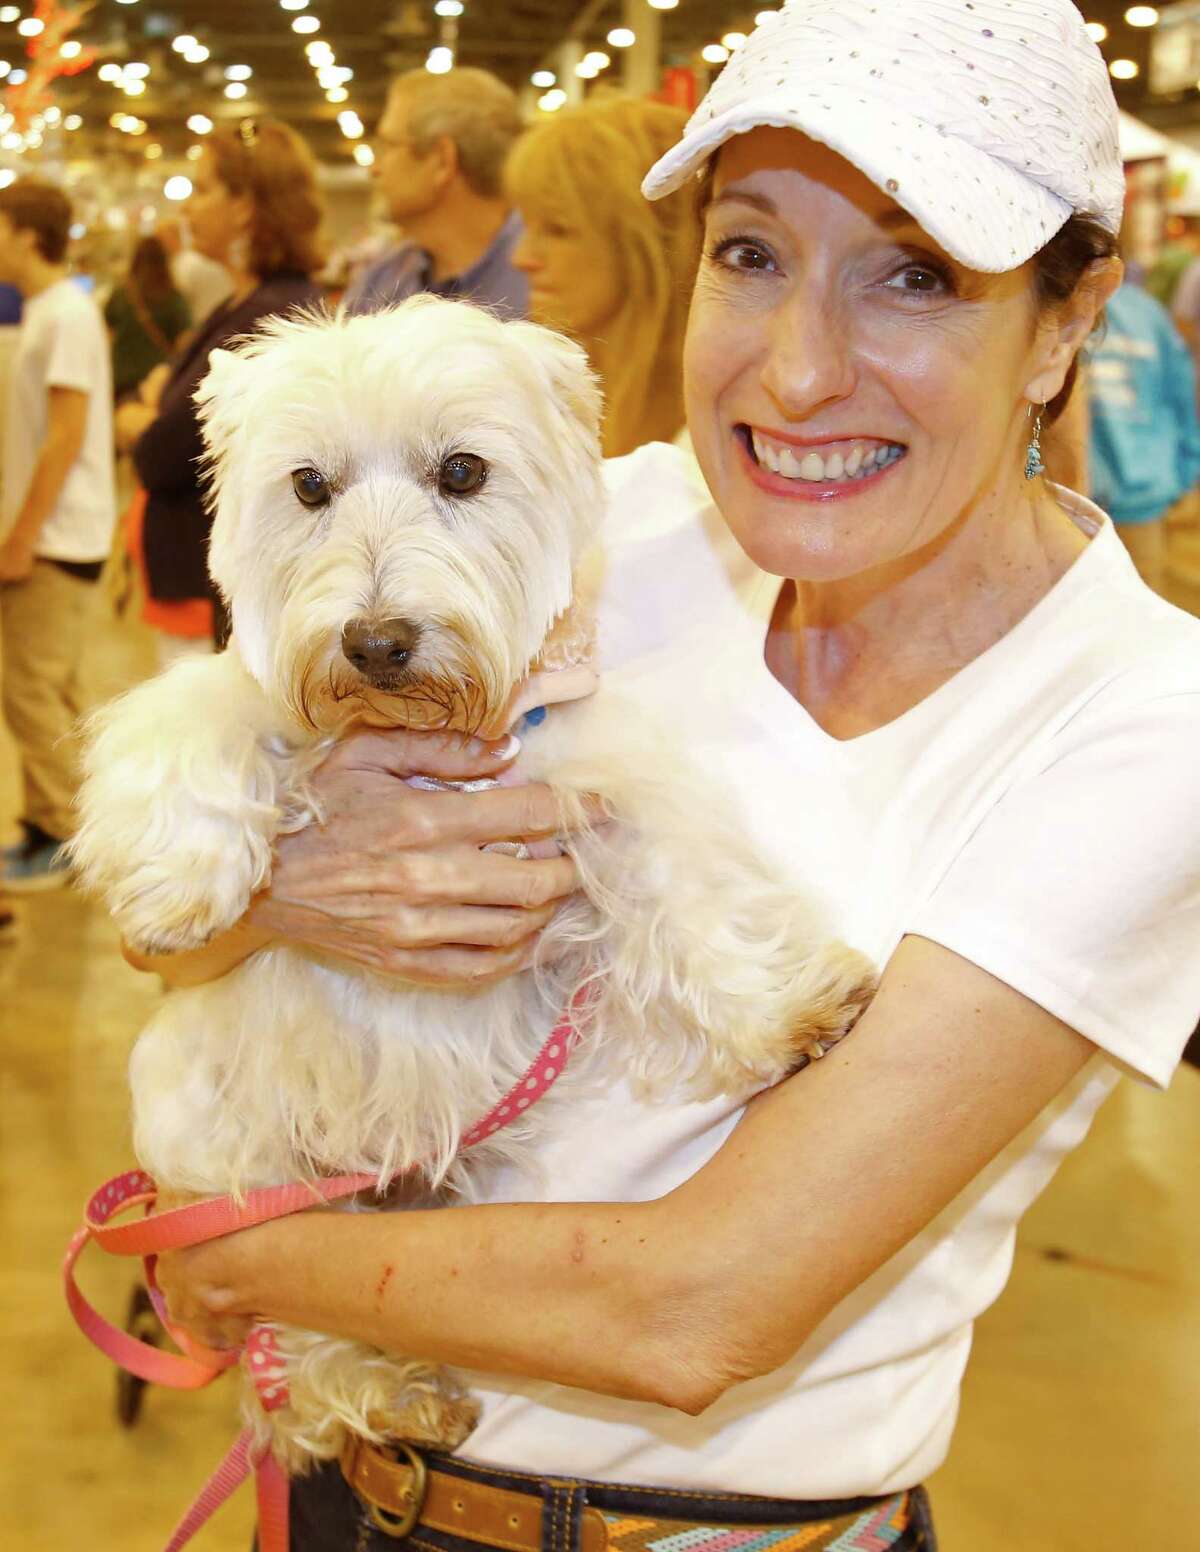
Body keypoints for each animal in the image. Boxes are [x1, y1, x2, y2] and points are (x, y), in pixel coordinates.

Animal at [67, 299, 869, 1477]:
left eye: (461, 470)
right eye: (308, 485)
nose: (376, 642)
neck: (432, 742)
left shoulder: (604, 793)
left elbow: (690, 889)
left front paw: (790, 1010)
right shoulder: (242, 701)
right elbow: (189, 729)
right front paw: (179, 893)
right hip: (228, 1159)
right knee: (290, 1326)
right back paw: (390, 1396)